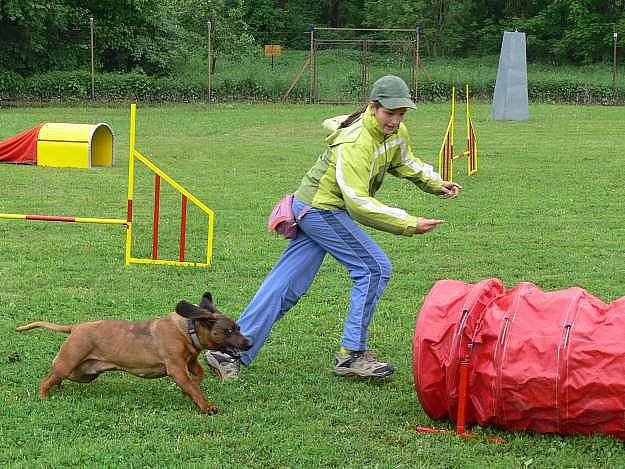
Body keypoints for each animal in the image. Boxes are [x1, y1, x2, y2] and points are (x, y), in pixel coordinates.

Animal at [15, 292, 249, 414]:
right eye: (229, 330)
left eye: (238, 327)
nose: (250, 342)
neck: (186, 329)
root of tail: (75, 328)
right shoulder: (176, 369)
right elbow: (194, 388)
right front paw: (206, 406)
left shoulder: (190, 362)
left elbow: (197, 377)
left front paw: (191, 388)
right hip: (70, 364)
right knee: (46, 380)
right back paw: (45, 398)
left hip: (83, 373)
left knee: (56, 376)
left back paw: (59, 388)